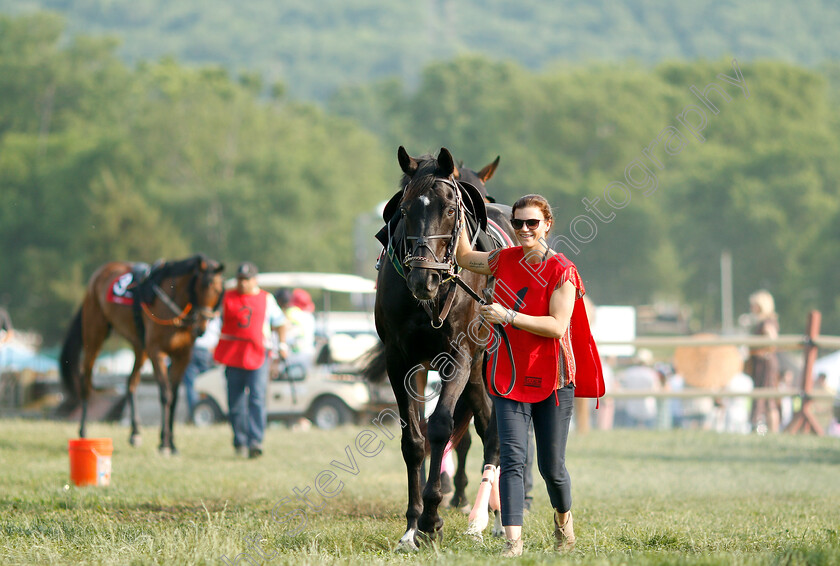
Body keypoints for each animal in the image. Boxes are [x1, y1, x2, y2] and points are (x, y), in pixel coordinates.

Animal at [59, 255, 225, 454]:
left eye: (219, 290)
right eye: (203, 285)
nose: (201, 327)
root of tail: (99, 275)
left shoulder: (182, 355)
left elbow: (175, 397)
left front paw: (172, 443)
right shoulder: (156, 352)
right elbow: (165, 394)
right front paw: (164, 443)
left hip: (140, 346)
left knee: (131, 382)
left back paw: (135, 432)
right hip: (95, 334)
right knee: (87, 380)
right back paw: (83, 431)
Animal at [370, 149, 516, 552]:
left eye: (451, 208)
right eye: (404, 209)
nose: (424, 276)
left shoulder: (460, 357)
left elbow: (439, 427)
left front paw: (432, 518)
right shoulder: (401, 361)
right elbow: (414, 439)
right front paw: (411, 526)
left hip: (488, 365)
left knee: (492, 433)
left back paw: (493, 520)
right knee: (484, 425)